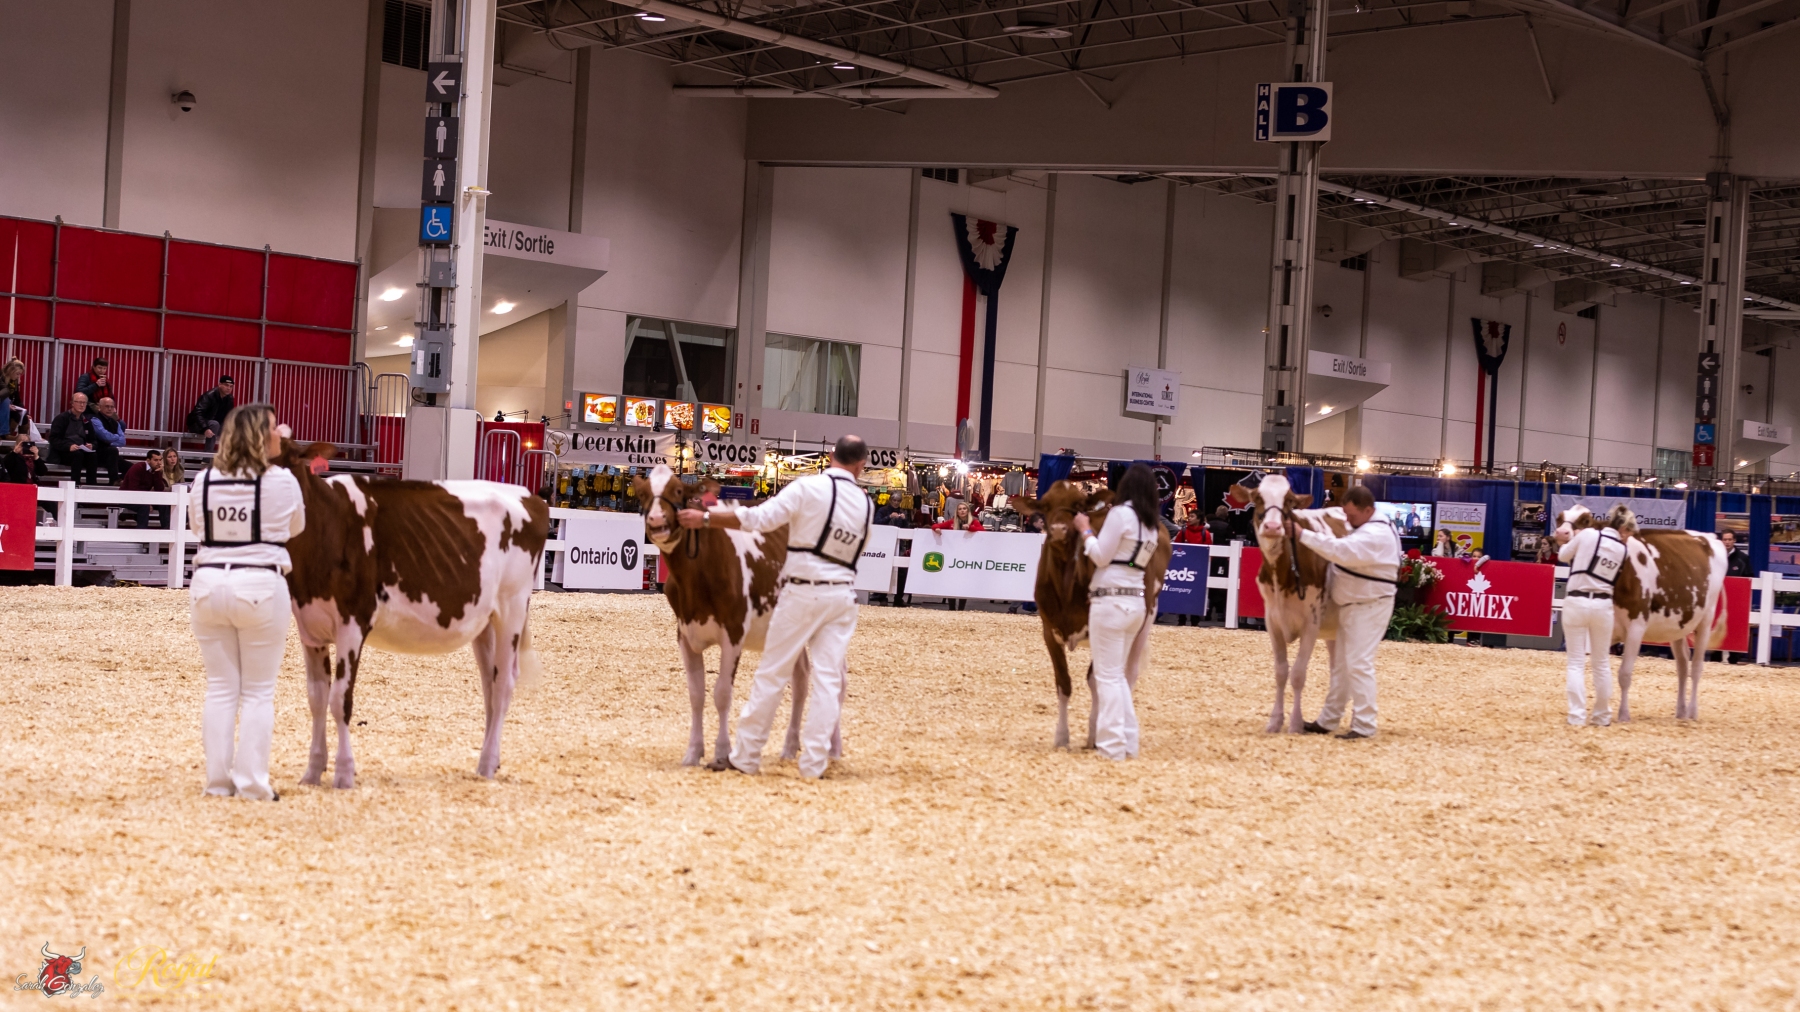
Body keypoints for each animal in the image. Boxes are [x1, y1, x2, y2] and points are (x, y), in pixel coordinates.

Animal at [276, 442, 550, 787]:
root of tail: (529, 495)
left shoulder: (353, 621)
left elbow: (340, 699)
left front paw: (344, 773)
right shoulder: (309, 626)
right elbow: (316, 698)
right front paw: (312, 772)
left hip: (511, 608)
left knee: (503, 685)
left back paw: (488, 765)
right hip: (484, 621)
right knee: (490, 683)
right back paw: (489, 760)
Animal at [1240, 474, 1345, 733]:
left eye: (1289, 500)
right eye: (1257, 498)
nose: (1272, 527)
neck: (1283, 573)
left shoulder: (1311, 624)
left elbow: (1298, 674)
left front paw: (1296, 723)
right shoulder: (1272, 621)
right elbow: (1280, 671)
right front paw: (1275, 721)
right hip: (1333, 630)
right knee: (1336, 669)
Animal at [1555, 503, 1727, 720]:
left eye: (1585, 520)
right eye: (1559, 518)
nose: (1562, 533)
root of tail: (1709, 537)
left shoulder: (1636, 626)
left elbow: (1625, 673)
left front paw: (1623, 715)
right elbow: (1598, 669)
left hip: (1706, 619)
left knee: (1696, 667)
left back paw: (1692, 712)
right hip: (1678, 624)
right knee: (1682, 664)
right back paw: (1681, 711)